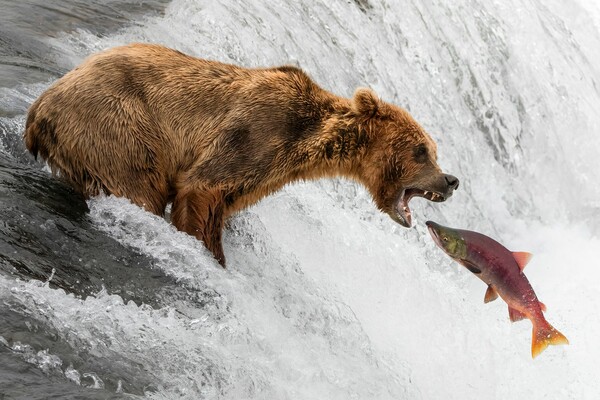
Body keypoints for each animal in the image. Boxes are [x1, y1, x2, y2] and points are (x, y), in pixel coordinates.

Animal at [24, 43, 460, 266]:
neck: (308, 142)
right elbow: (201, 190)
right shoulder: (255, 134)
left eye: (433, 150)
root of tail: (40, 106)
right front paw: (211, 254)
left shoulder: (263, 173)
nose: (451, 180)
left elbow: (223, 205)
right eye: (422, 150)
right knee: (139, 187)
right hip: (118, 125)